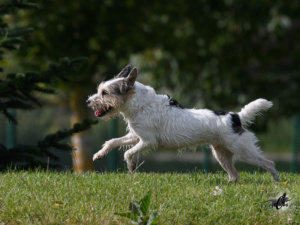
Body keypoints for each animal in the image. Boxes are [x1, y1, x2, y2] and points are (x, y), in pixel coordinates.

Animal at [86, 64, 278, 181]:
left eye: (104, 93)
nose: (88, 101)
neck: (141, 104)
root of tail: (236, 117)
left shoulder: (148, 141)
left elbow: (128, 153)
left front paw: (132, 167)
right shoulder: (135, 136)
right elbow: (112, 142)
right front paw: (100, 154)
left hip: (244, 152)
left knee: (268, 163)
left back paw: (277, 181)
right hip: (222, 154)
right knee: (235, 175)